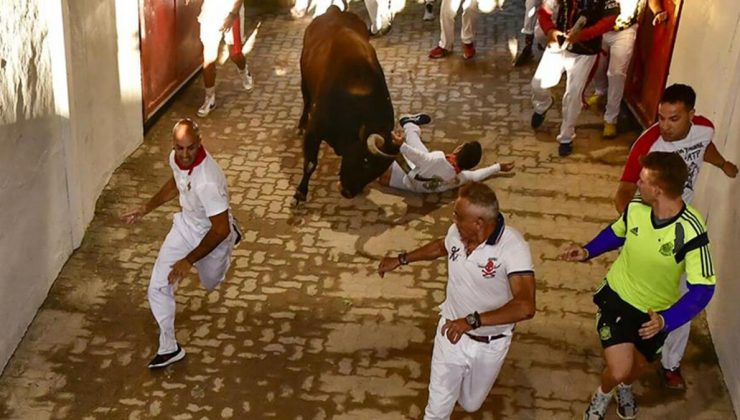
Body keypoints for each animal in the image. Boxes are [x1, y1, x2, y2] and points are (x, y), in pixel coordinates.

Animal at [294, 5, 398, 203]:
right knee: (306, 101)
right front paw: (300, 193)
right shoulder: (314, 130)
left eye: (379, 170)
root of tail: (334, 10)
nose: (348, 192)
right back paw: (300, 124)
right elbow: (310, 163)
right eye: (366, 161)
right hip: (304, 80)